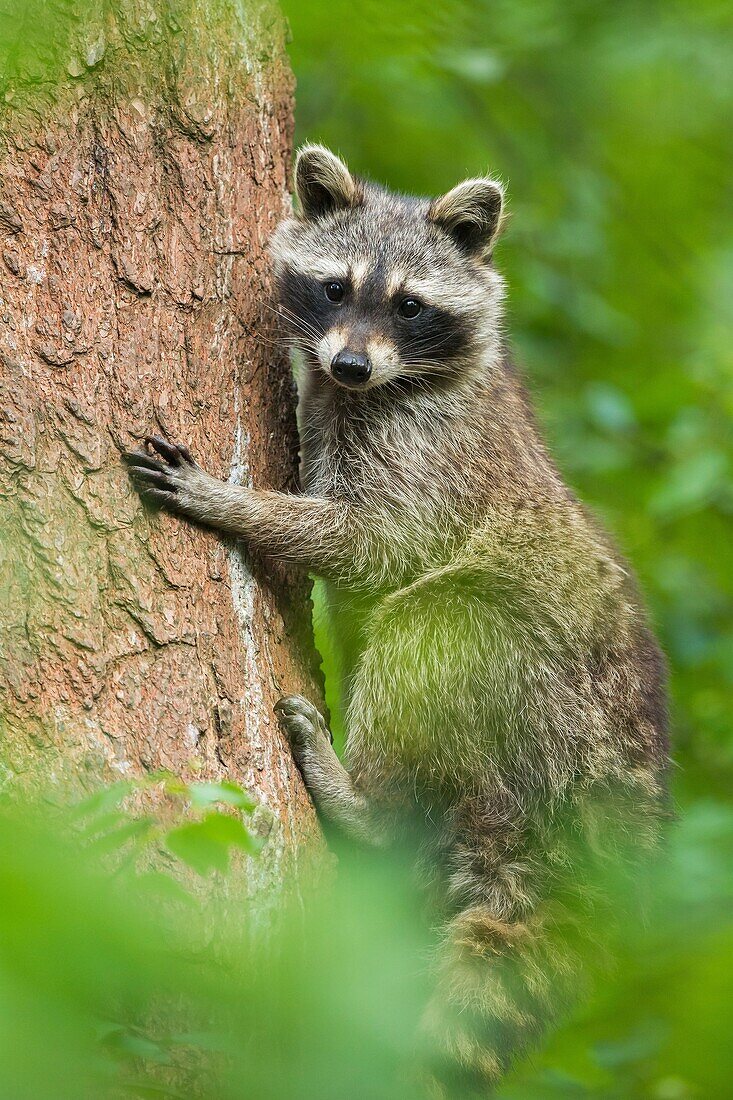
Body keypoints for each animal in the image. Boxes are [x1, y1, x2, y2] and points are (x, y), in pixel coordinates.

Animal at [125, 144, 669, 1091]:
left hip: (539, 690)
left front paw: (237, 505)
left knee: (430, 626)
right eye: (335, 288)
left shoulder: (428, 449)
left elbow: (375, 546)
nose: (348, 367)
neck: (376, 386)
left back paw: (365, 807)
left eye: (409, 305)